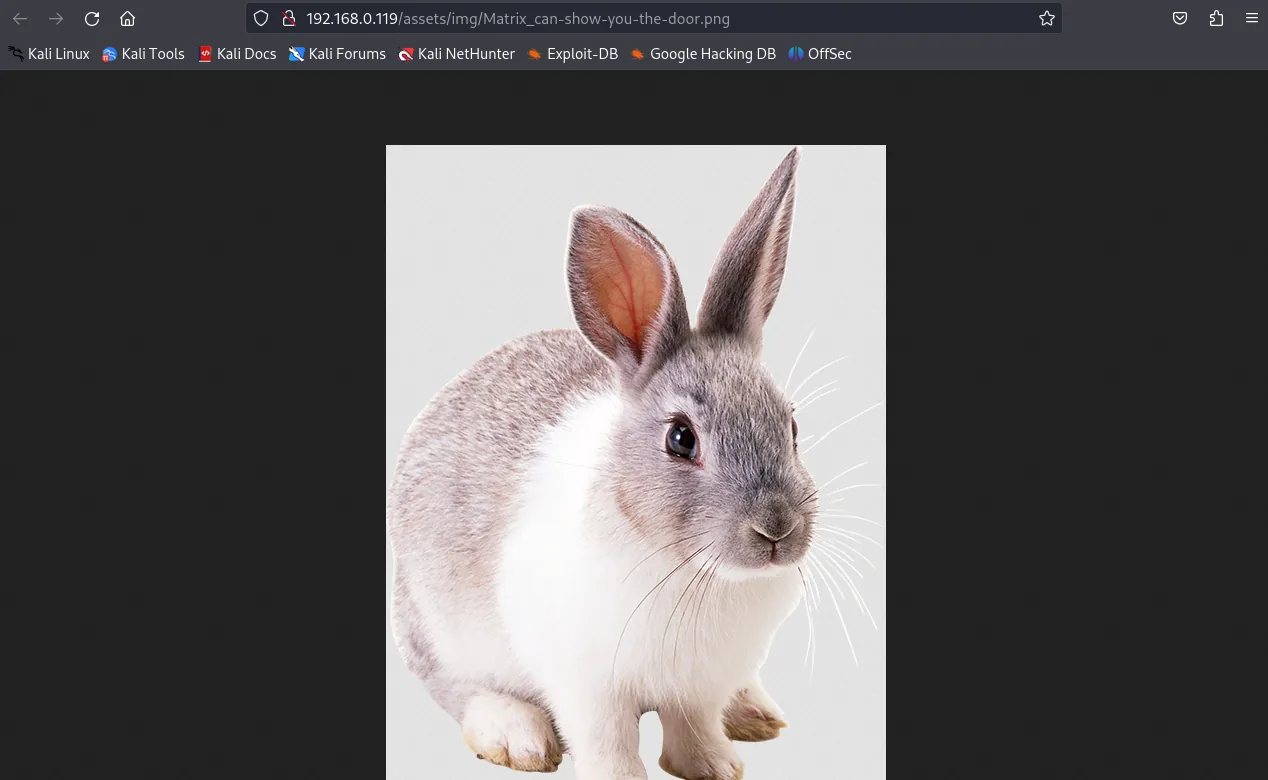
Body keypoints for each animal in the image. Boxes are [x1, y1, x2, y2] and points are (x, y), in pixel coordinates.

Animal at [388, 148, 819, 780]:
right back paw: (517, 736)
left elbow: (693, 726)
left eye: (790, 427)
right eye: (681, 439)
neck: (692, 570)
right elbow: (608, 741)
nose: (777, 530)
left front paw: (715, 766)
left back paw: (753, 712)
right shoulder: (586, 684)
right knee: (457, 687)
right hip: (440, 631)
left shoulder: (698, 686)